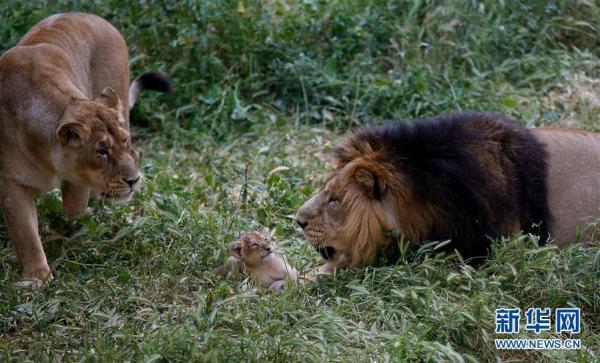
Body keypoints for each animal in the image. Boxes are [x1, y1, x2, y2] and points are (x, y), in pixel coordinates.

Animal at [0, 12, 171, 288]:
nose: (134, 180)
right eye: (102, 152)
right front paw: (37, 278)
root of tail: (95, 16)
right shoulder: (11, 184)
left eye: (125, 141)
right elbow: (26, 235)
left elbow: (73, 212)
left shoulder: (77, 180)